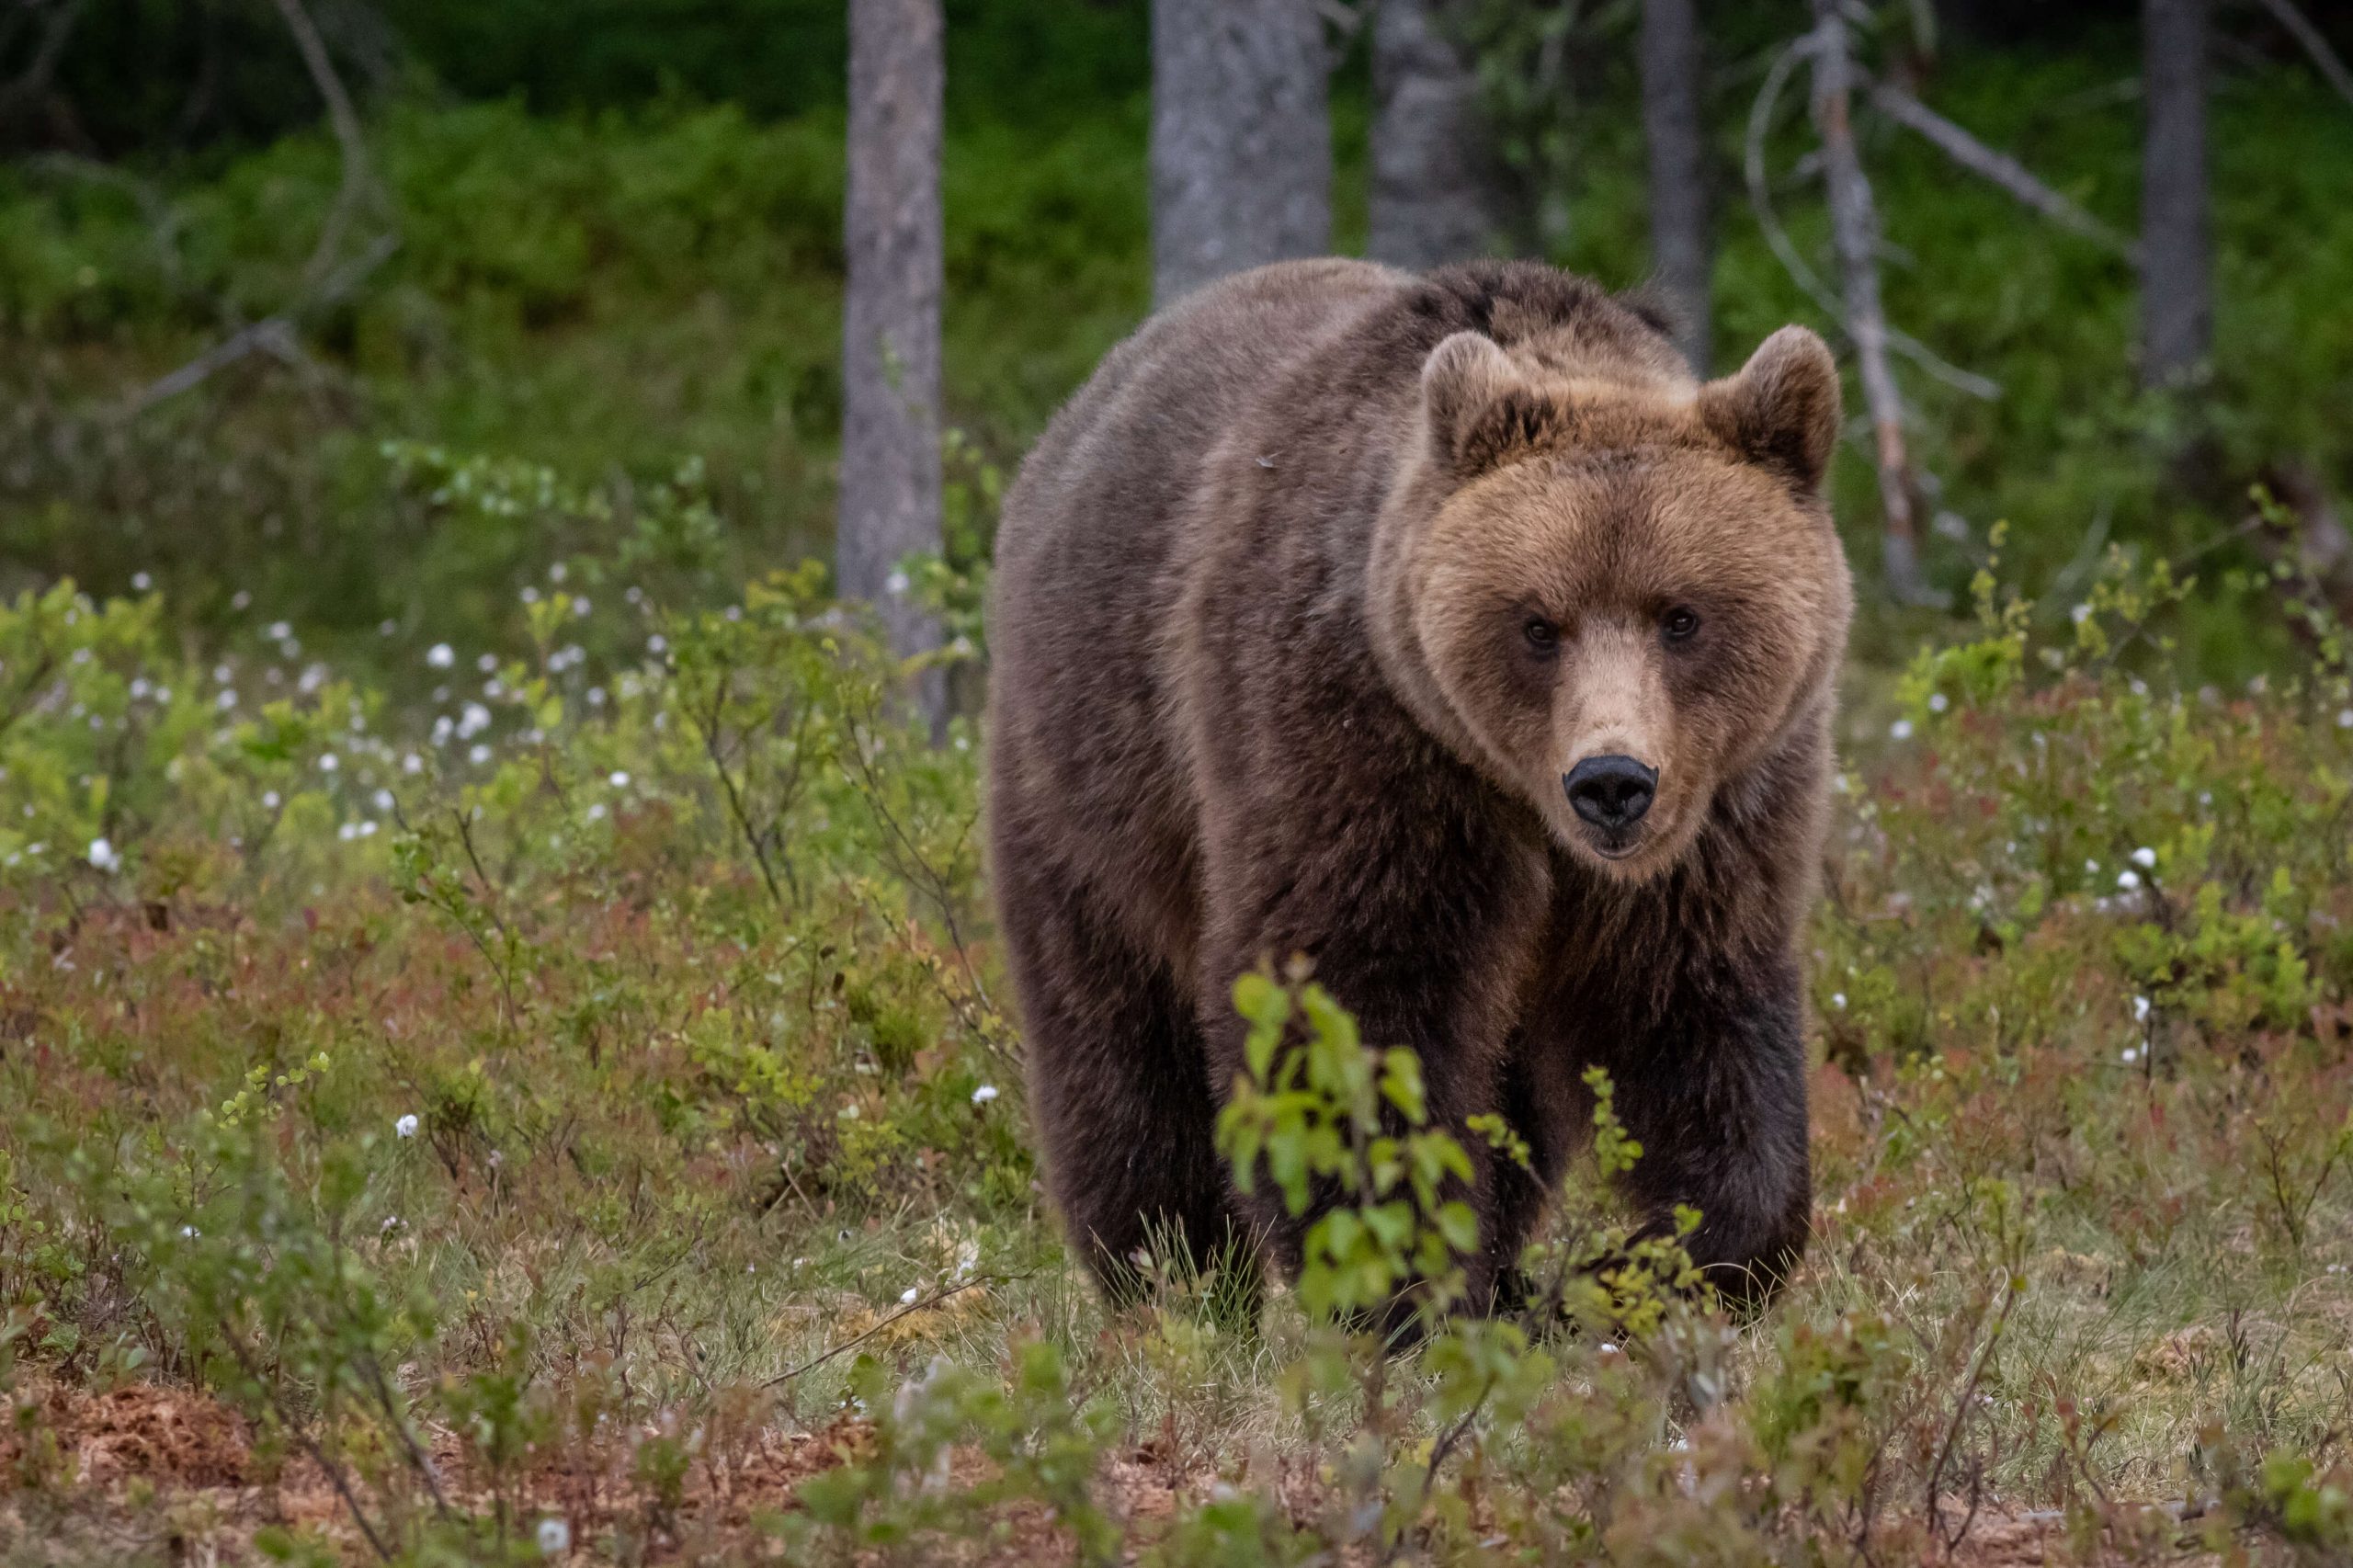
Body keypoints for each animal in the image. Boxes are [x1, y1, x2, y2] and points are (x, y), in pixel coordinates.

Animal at [983, 256, 1845, 1309]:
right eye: (1537, 623)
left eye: (1681, 615)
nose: (1611, 781)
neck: (1520, 800)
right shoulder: (1359, 742)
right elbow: (1351, 996)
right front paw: (1404, 1281)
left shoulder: (1722, 812)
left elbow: (1692, 1011)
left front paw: (1635, 1272)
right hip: (1097, 775)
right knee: (1117, 1039)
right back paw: (1170, 1272)